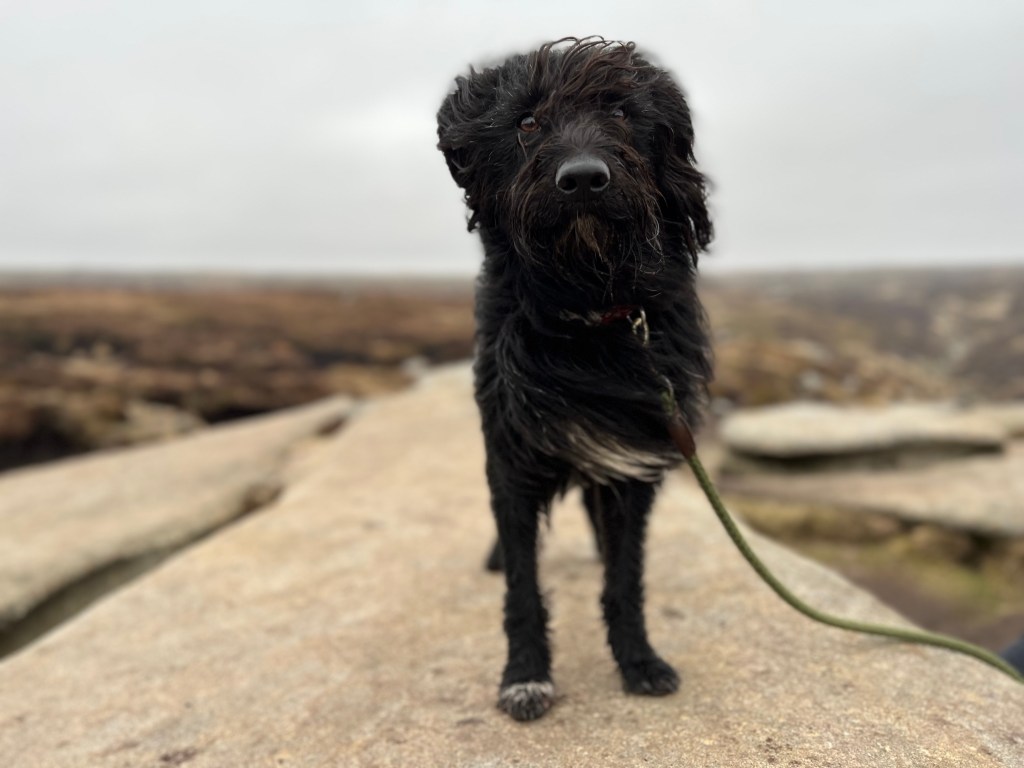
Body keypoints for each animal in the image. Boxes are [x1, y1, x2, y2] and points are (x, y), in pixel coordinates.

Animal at [436, 37, 713, 721]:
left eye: (619, 112)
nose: (584, 177)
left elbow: (625, 578)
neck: (588, 313)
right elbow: (522, 584)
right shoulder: (511, 455)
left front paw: (638, 660)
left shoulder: (632, 453)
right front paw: (525, 675)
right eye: (528, 122)